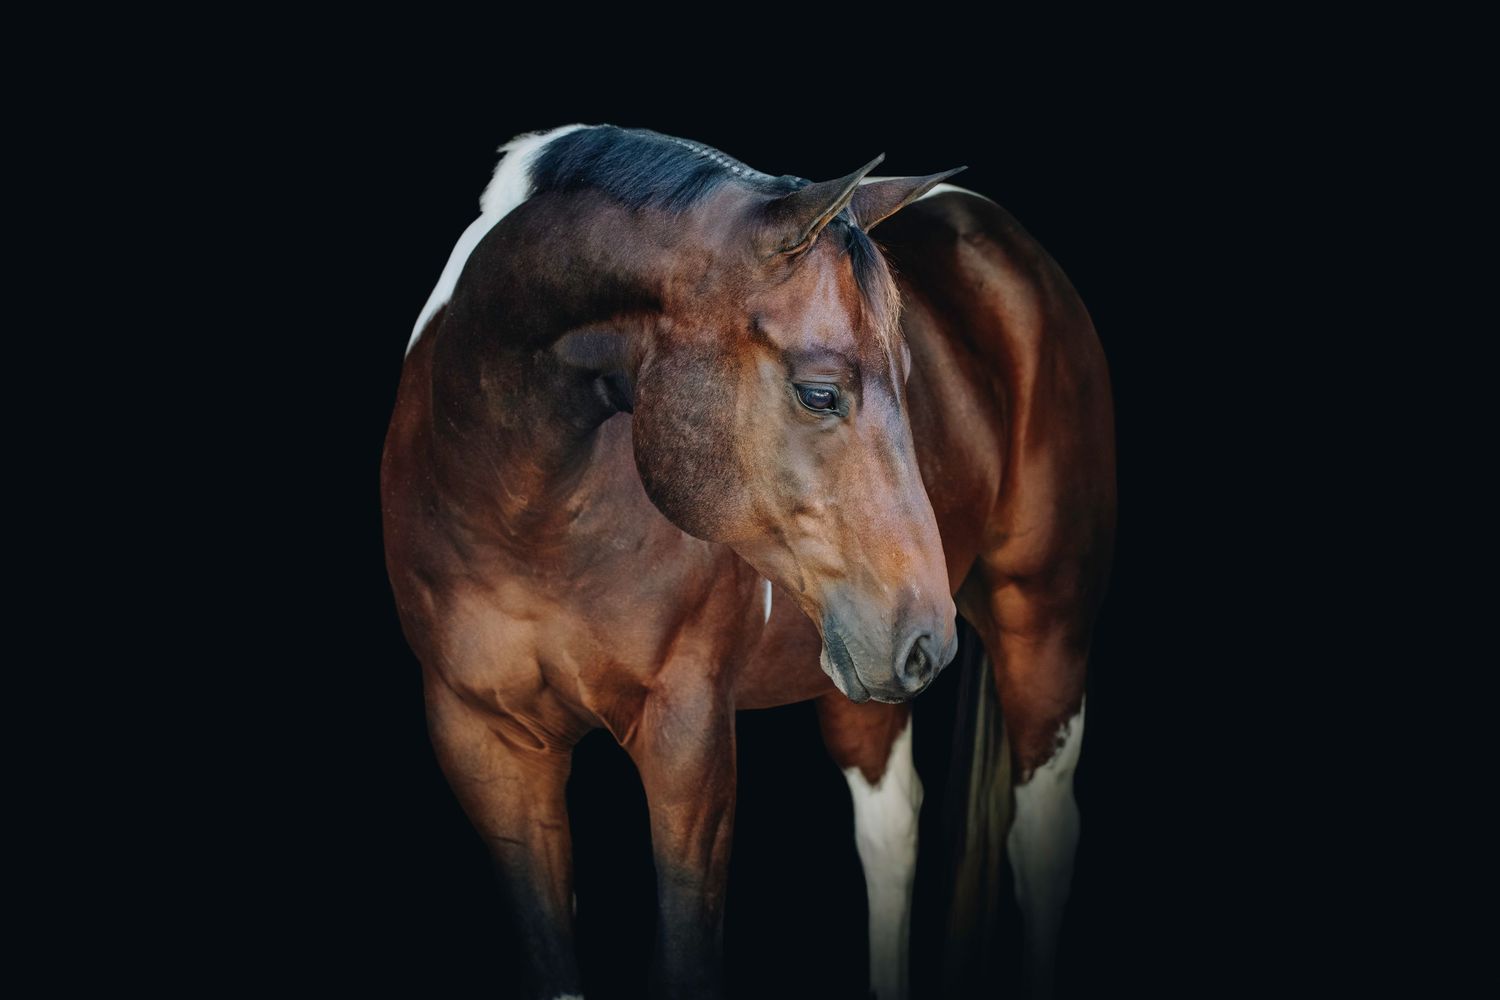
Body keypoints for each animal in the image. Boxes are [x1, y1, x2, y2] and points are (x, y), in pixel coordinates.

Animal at [381, 124, 1115, 999]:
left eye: (911, 379)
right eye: (819, 393)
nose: (927, 641)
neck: (522, 514)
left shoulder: (688, 738)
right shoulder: (485, 746)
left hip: (1043, 621)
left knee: (1041, 843)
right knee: (892, 831)